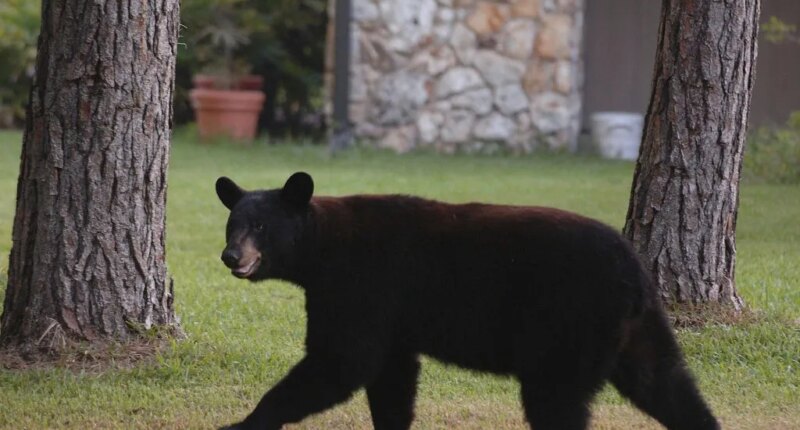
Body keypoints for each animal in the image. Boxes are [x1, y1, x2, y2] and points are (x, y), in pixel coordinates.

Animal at [215, 172, 720, 430]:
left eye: (259, 226)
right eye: (231, 224)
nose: (231, 256)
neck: (321, 249)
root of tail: (633, 270)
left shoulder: (360, 288)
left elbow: (341, 361)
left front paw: (244, 423)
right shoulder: (392, 317)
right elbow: (392, 379)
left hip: (569, 324)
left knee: (557, 401)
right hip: (639, 327)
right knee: (667, 383)